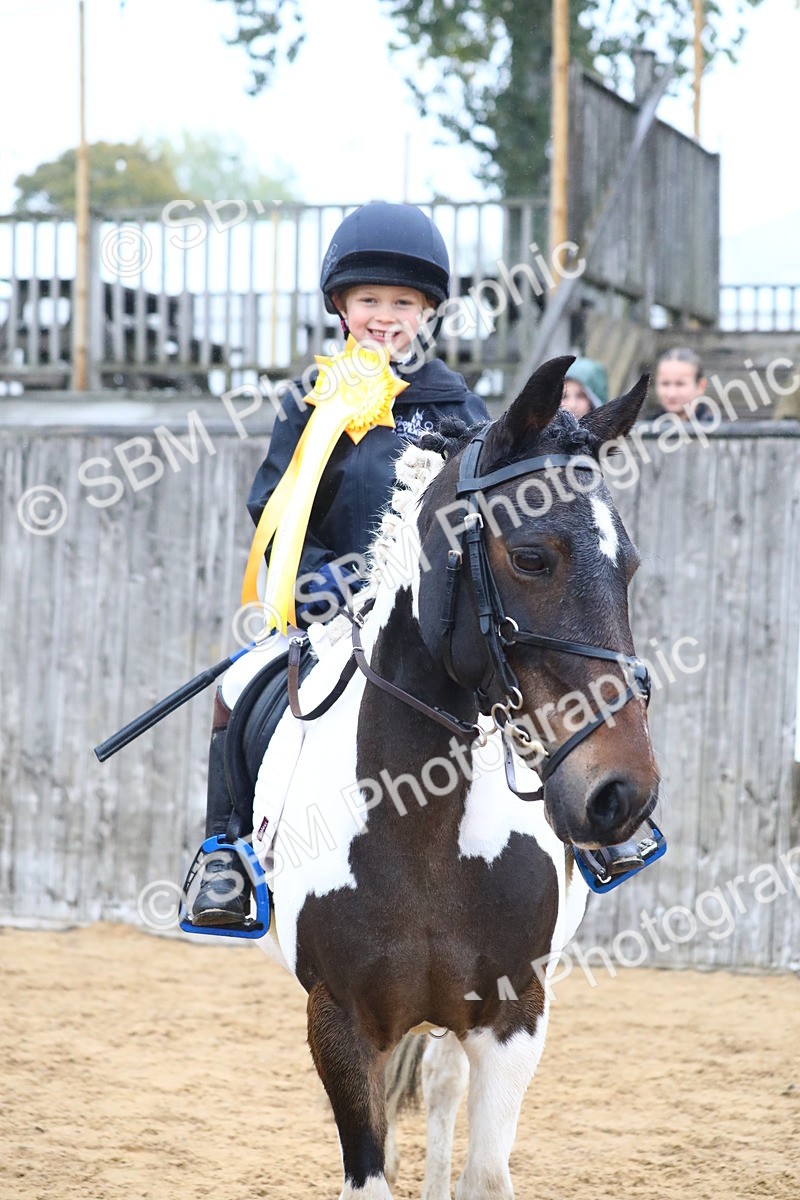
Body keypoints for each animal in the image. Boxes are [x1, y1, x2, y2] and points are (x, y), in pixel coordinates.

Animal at [251, 355, 659, 1199]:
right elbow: (368, 1170)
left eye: (630, 565)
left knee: (441, 1084)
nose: (622, 792)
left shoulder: (514, 1016)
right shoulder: (340, 1022)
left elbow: (485, 1173)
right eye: (533, 556)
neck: (421, 825)